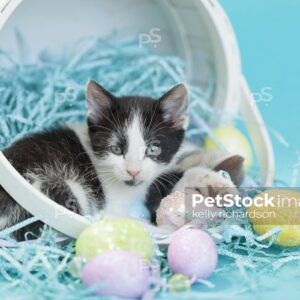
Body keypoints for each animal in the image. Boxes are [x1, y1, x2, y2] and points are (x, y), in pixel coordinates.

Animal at [0, 80, 244, 239]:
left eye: (153, 149)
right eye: (116, 149)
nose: (133, 171)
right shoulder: (119, 203)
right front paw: (211, 181)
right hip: (53, 188)